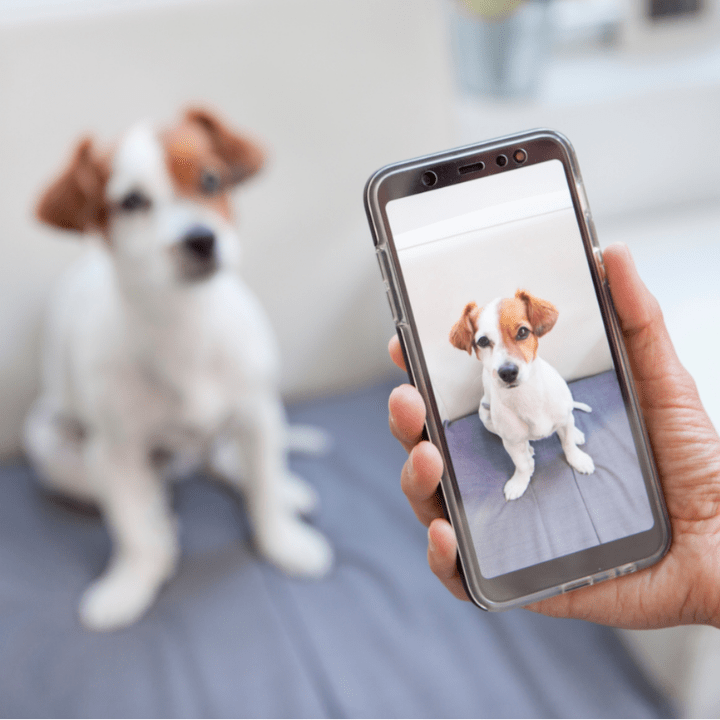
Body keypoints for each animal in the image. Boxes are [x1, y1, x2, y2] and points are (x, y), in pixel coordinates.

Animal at [24, 107, 334, 632]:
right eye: (131, 201)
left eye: (211, 179)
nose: (201, 239)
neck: (185, 323)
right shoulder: (115, 451)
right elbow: (131, 528)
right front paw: (130, 582)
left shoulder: (258, 414)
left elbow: (263, 490)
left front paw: (283, 540)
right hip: (51, 441)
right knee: (141, 493)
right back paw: (162, 523)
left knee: (231, 463)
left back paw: (282, 488)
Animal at [450, 290, 596, 498]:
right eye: (483, 341)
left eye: (523, 332)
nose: (507, 372)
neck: (527, 396)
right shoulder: (511, 442)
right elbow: (521, 464)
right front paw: (520, 481)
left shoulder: (563, 418)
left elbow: (568, 444)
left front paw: (577, 459)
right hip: (485, 414)